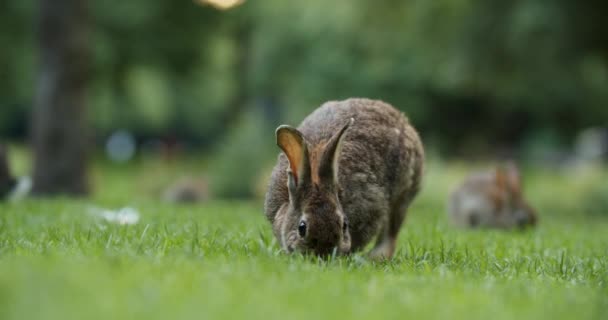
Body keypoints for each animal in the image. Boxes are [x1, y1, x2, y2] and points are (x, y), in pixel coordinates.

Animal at [264, 97, 426, 258]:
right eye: (302, 228)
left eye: (344, 225)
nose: (324, 254)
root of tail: (403, 120)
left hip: (401, 196)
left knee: (391, 231)